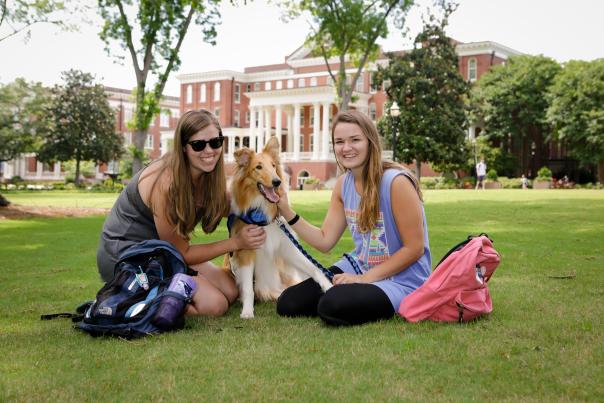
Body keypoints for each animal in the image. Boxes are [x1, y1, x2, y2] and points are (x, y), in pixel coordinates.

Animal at [226, 138, 332, 318]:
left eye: (273, 165)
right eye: (258, 167)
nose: (277, 182)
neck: (263, 215)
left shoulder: (287, 248)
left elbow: (314, 268)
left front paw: (329, 285)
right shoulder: (246, 251)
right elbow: (248, 289)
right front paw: (247, 311)